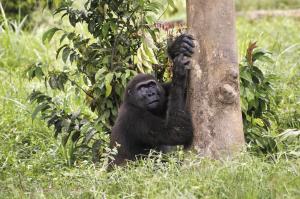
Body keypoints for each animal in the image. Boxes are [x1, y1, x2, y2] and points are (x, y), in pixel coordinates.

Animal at [109, 33, 195, 165]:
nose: (151, 94)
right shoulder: (135, 117)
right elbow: (177, 131)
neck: (131, 102)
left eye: (151, 85)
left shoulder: (162, 90)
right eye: (142, 88)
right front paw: (179, 72)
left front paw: (177, 47)